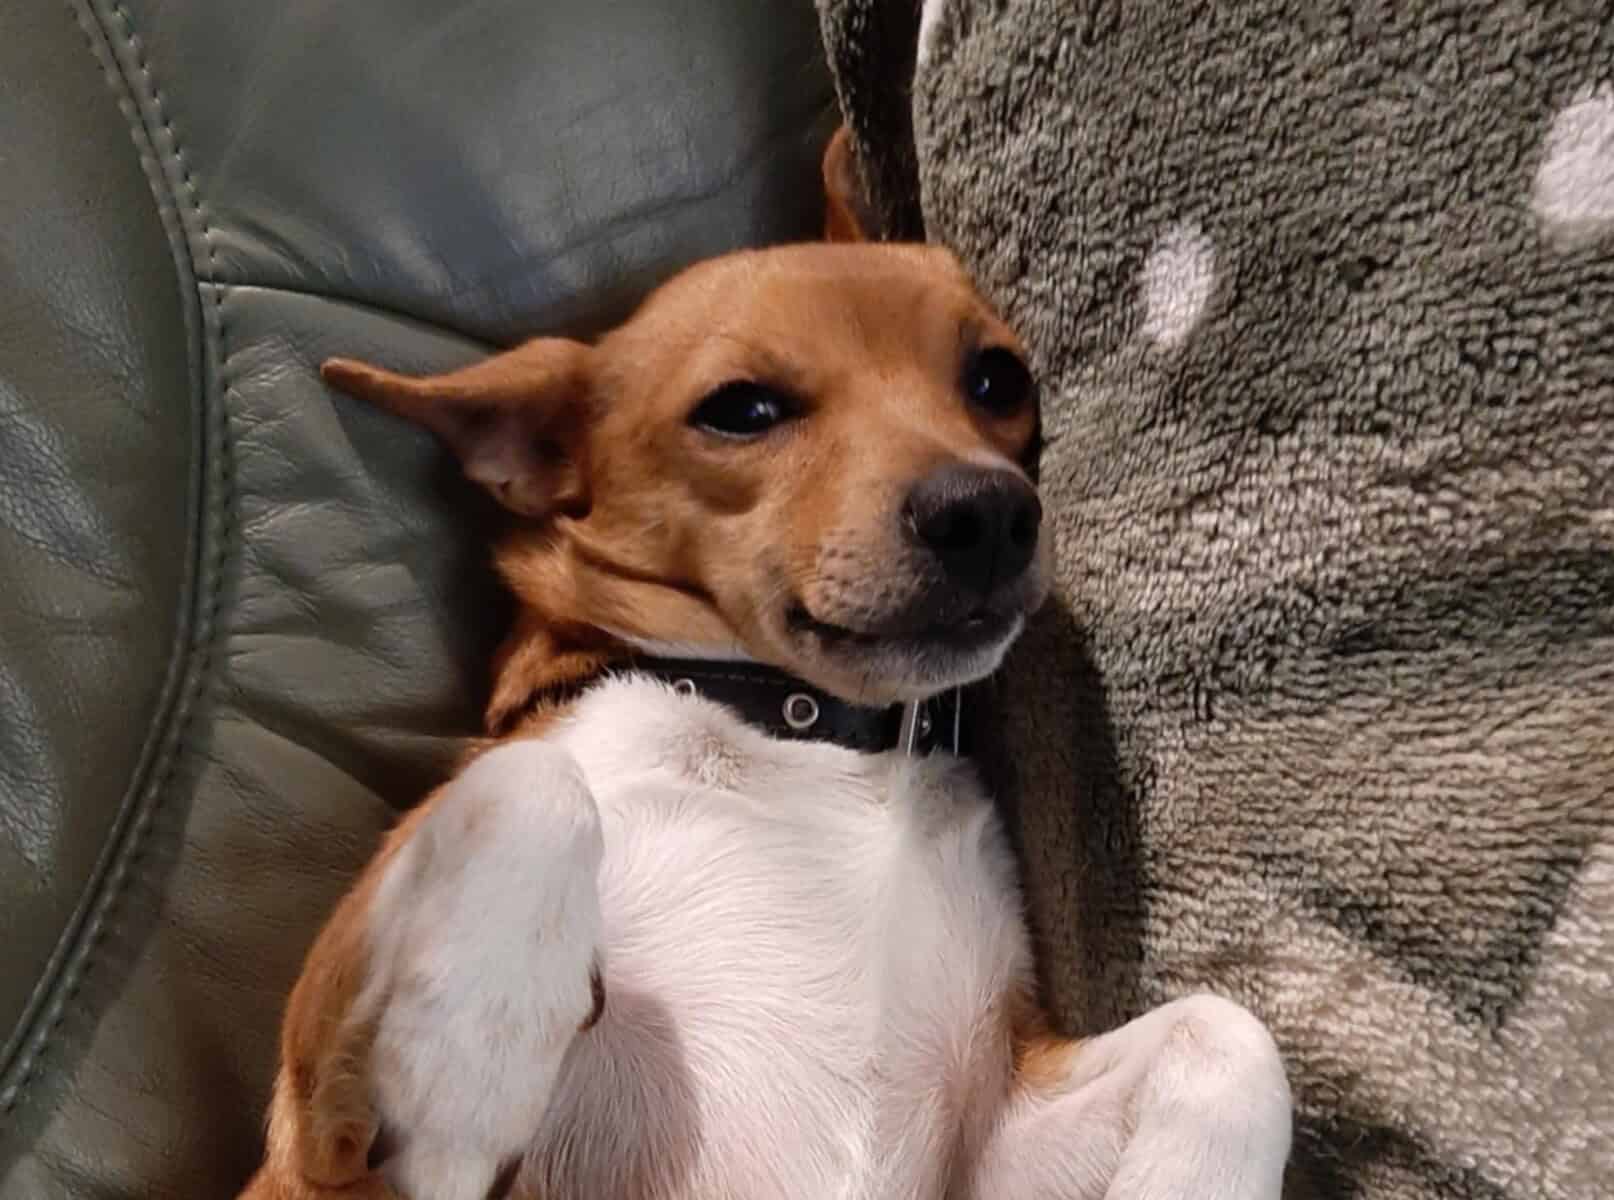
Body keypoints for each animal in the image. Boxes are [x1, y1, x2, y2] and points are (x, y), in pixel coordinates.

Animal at [239, 128, 1292, 1200]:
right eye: (741, 409)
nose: (991, 512)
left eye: (999, 379)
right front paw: (465, 1060)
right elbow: (534, 780)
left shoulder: (999, 1129)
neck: (802, 724)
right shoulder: (309, 1156)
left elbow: (1231, 1033)